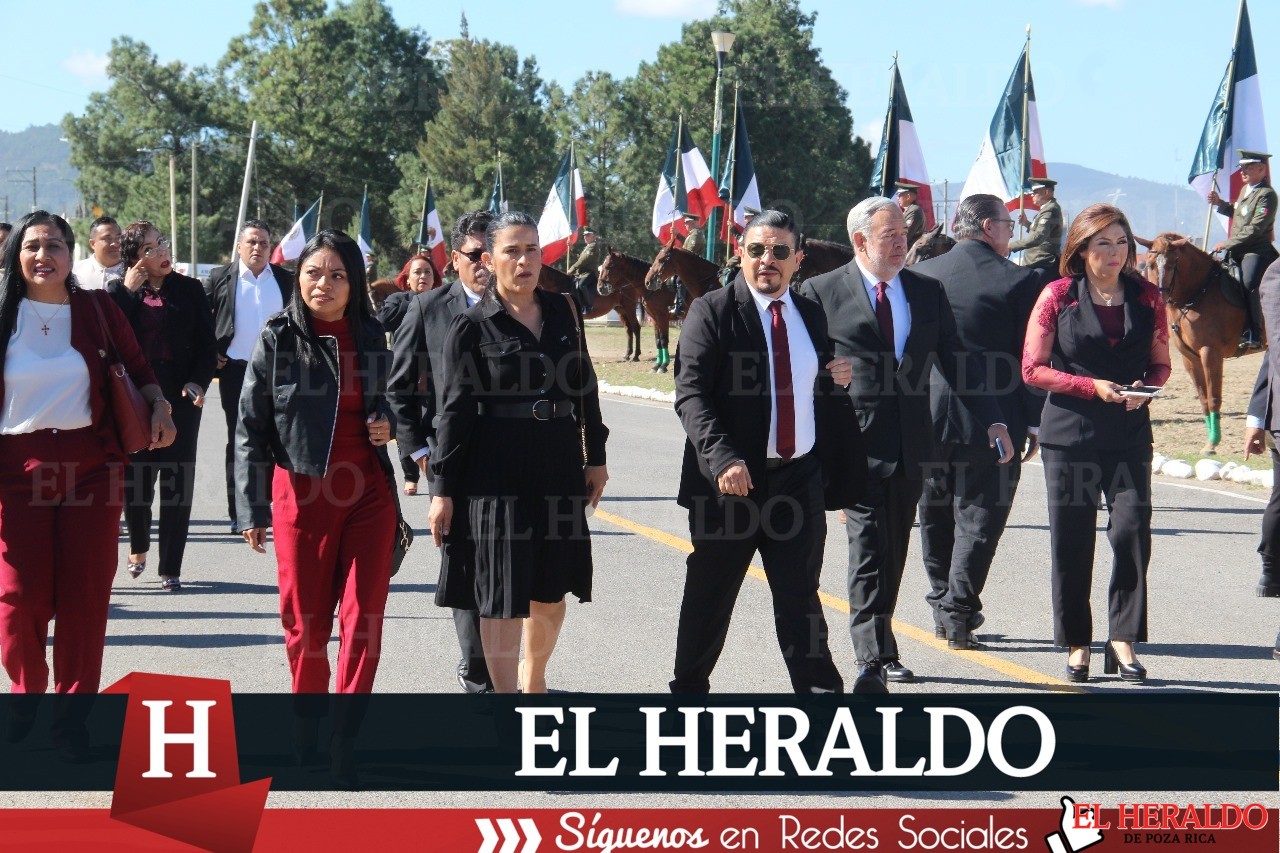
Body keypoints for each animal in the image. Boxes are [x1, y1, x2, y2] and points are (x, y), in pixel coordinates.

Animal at [645, 240, 727, 371]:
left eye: (661, 259)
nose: (647, 282)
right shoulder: (655, 319)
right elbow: (659, 340)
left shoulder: (661, 318)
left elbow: (663, 340)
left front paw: (662, 366)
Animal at [1136, 229, 1254, 448]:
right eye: (1150, 264)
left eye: (1173, 265)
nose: (1159, 300)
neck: (1198, 292)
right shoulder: (1189, 357)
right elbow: (1203, 398)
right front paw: (1211, 439)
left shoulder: (1210, 352)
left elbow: (1214, 396)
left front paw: (1213, 444)